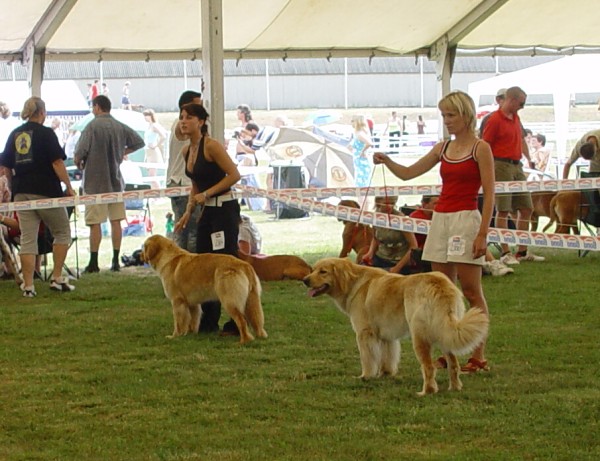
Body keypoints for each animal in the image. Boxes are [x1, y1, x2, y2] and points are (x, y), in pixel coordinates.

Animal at [302, 256, 490, 394]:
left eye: (323, 272)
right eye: (313, 270)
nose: (304, 280)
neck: (353, 282)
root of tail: (440, 285)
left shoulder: (364, 333)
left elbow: (368, 359)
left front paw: (365, 376)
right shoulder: (387, 336)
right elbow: (387, 358)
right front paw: (385, 374)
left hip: (419, 336)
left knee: (429, 367)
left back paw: (427, 391)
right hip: (445, 333)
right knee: (453, 365)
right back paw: (454, 387)